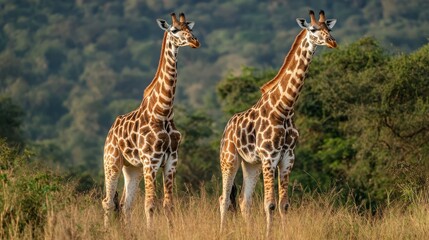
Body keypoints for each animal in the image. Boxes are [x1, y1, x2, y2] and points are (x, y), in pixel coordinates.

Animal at [101, 12, 199, 228]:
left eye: (190, 28)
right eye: (175, 30)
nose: (195, 41)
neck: (164, 112)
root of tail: (110, 131)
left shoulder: (171, 161)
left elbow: (168, 205)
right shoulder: (151, 160)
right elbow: (150, 204)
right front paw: (151, 231)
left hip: (133, 168)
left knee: (125, 204)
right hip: (112, 161)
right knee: (108, 201)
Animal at [219, 10, 336, 235]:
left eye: (329, 27)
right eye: (313, 29)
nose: (332, 42)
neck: (284, 109)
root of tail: (226, 128)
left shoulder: (288, 157)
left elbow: (284, 204)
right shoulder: (269, 156)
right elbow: (270, 204)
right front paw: (268, 234)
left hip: (251, 164)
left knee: (243, 201)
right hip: (229, 159)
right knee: (224, 198)